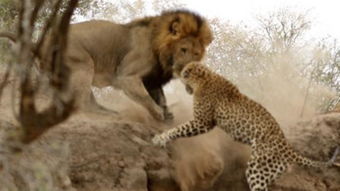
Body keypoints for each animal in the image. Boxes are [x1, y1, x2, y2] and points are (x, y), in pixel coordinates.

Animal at [153, 61, 338, 191]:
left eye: (184, 75)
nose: (179, 74)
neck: (205, 78)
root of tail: (287, 146)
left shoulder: (202, 122)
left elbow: (180, 129)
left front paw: (160, 138)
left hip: (258, 169)